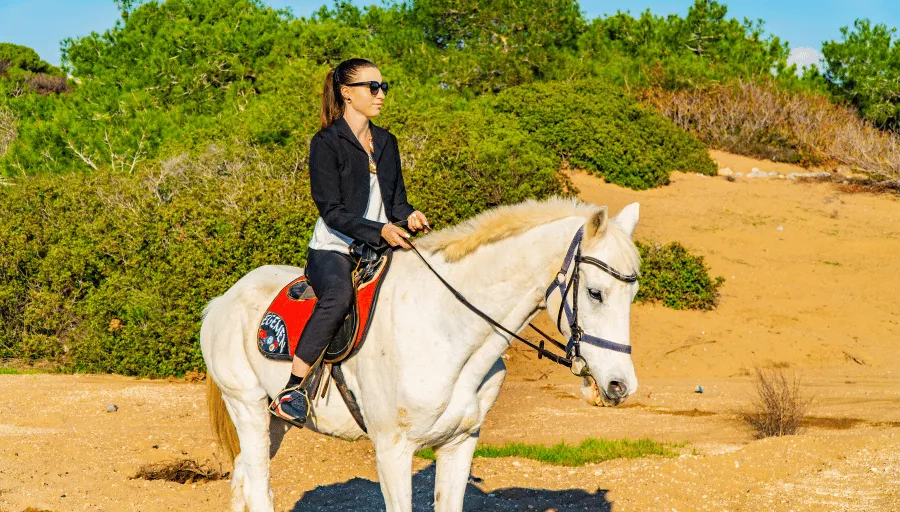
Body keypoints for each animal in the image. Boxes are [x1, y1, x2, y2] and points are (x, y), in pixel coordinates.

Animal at [201, 197, 642, 512]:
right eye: (595, 293)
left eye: (633, 293)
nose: (621, 385)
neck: (447, 329)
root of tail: (221, 301)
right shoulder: (392, 450)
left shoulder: (460, 444)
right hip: (248, 408)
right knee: (258, 489)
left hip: (274, 422)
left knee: (243, 480)